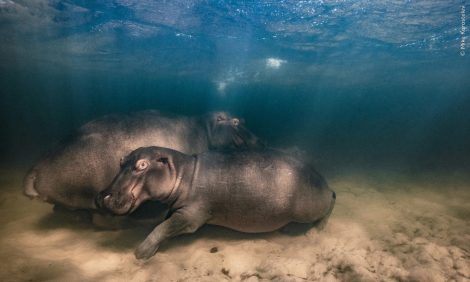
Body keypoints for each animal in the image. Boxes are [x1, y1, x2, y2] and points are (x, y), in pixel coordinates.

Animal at [97, 147, 336, 258]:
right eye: (121, 160)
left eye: (142, 165)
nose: (102, 196)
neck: (184, 173)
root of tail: (323, 180)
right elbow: (163, 221)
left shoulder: (190, 216)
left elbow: (163, 227)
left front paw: (141, 252)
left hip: (309, 208)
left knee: (330, 203)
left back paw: (315, 230)